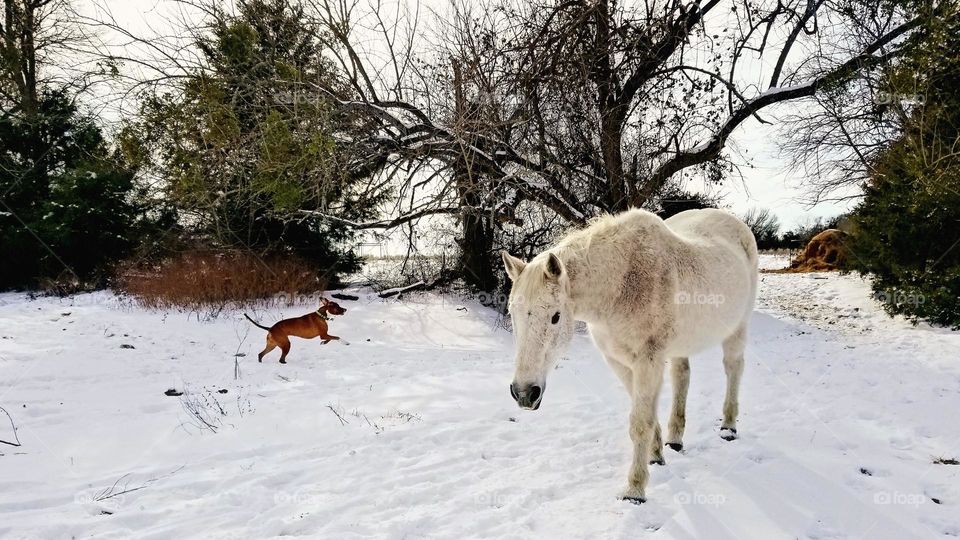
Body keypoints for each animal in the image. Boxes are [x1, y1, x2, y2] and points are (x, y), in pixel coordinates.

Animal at [502, 207, 756, 502]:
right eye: (512, 313)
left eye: (555, 317)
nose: (524, 393)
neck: (621, 284)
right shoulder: (619, 362)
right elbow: (647, 414)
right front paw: (655, 456)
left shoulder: (648, 361)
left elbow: (640, 422)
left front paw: (635, 489)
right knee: (682, 376)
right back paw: (675, 440)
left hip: (738, 327)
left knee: (733, 367)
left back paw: (728, 427)